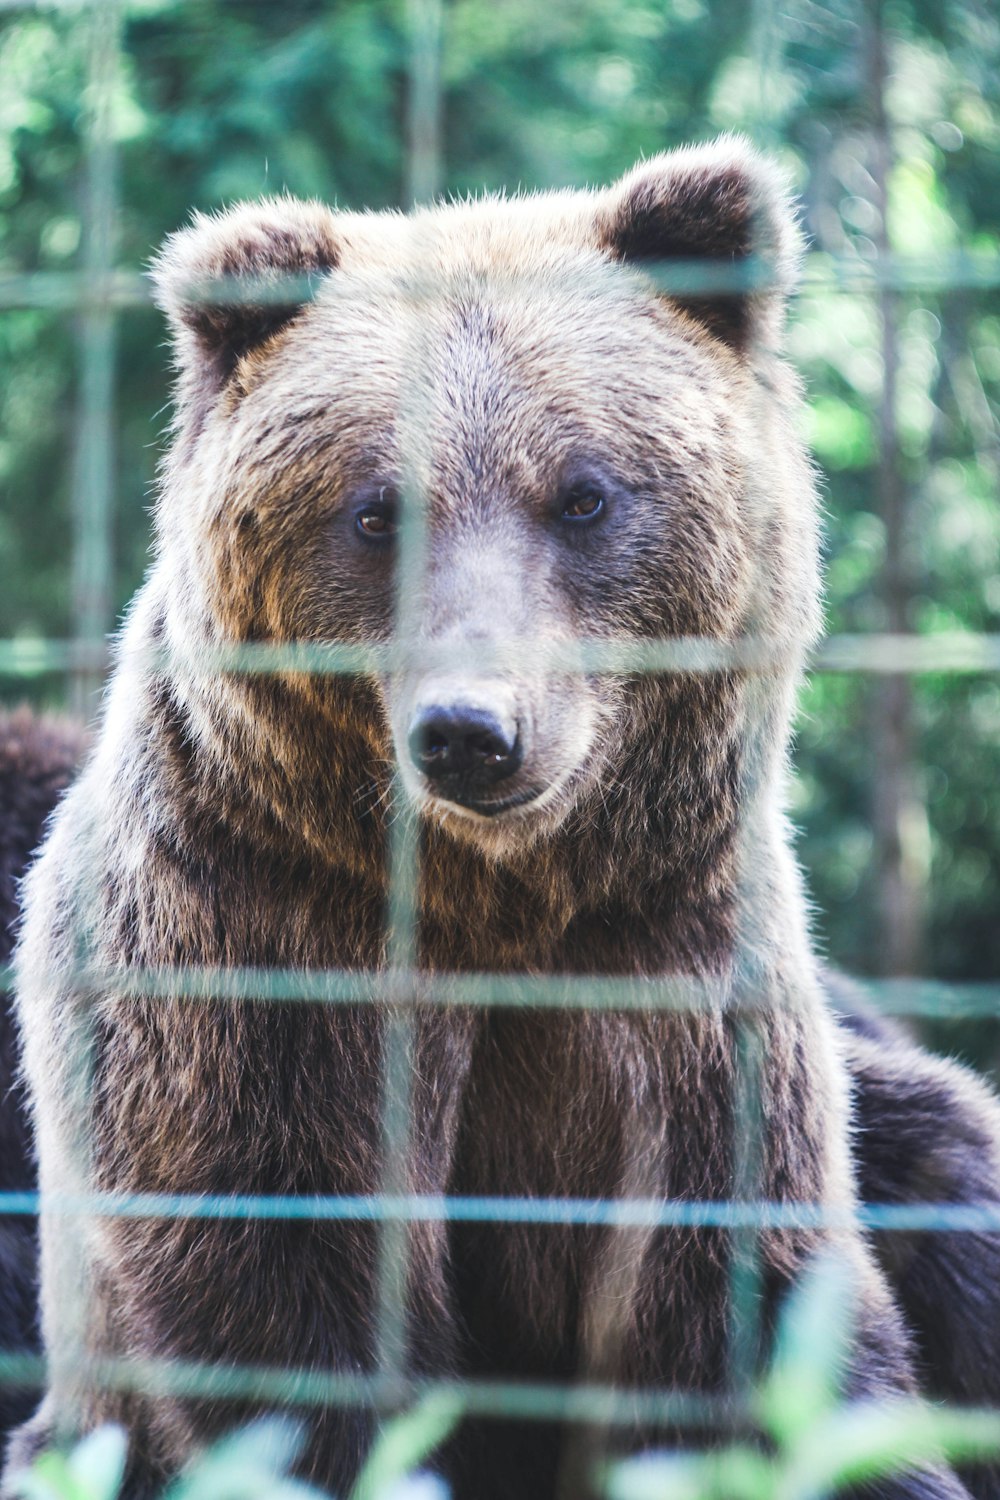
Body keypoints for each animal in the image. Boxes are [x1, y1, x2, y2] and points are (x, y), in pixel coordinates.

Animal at [7, 141, 1000, 1500]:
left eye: (583, 495)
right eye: (376, 509)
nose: (472, 730)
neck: (496, 898)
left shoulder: (677, 992)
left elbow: (731, 1323)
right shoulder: (251, 966)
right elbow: (293, 1333)